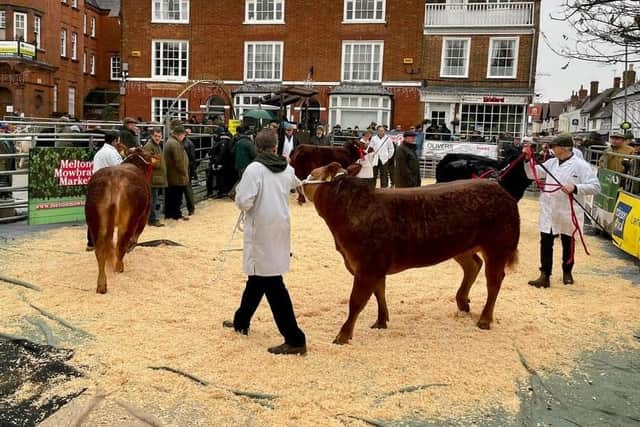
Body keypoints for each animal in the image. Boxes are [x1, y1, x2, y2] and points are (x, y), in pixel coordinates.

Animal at [85, 148, 159, 294]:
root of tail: (113, 179)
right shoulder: (144, 216)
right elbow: (136, 236)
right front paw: (131, 246)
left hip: (94, 221)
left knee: (101, 250)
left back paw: (101, 284)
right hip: (128, 220)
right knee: (121, 244)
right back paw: (118, 267)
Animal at [300, 162, 520, 346]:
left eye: (312, 174)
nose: (300, 182)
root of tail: (501, 190)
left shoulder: (368, 266)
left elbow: (356, 301)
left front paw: (342, 336)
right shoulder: (376, 266)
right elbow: (379, 292)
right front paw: (381, 321)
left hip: (497, 247)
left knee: (494, 281)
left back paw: (484, 320)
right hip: (462, 247)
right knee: (473, 265)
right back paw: (462, 302)